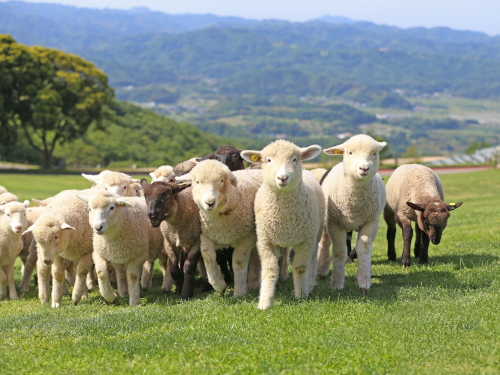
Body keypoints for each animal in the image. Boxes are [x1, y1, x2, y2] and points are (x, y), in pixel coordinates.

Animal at [176, 160, 262, 298]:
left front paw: (239, 292)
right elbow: (208, 256)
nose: (209, 203)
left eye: (221, 180)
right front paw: (219, 285)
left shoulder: (247, 237)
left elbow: (238, 261)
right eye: (197, 181)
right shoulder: (206, 235)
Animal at [241, 141, 324, 312]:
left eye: (294, 159)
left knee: (312, 260)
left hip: (315, 234)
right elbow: (270, 270)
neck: (285, 218)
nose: (282, 178)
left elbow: (300, 267)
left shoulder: (306, 241)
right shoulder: (264, 241)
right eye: (268, 160)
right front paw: (265, 302)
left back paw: (310, 283)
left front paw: (301, 294)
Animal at [316, 135, 386, 294]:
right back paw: (322, 269)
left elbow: (364, 248)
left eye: (374, 153)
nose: (364, 168)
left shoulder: (371, 222)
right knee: (324, 242)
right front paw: (336, 283)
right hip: (326, 220)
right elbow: (339, 251)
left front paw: (364, 282)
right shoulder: (334, 223)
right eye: (350, 153)